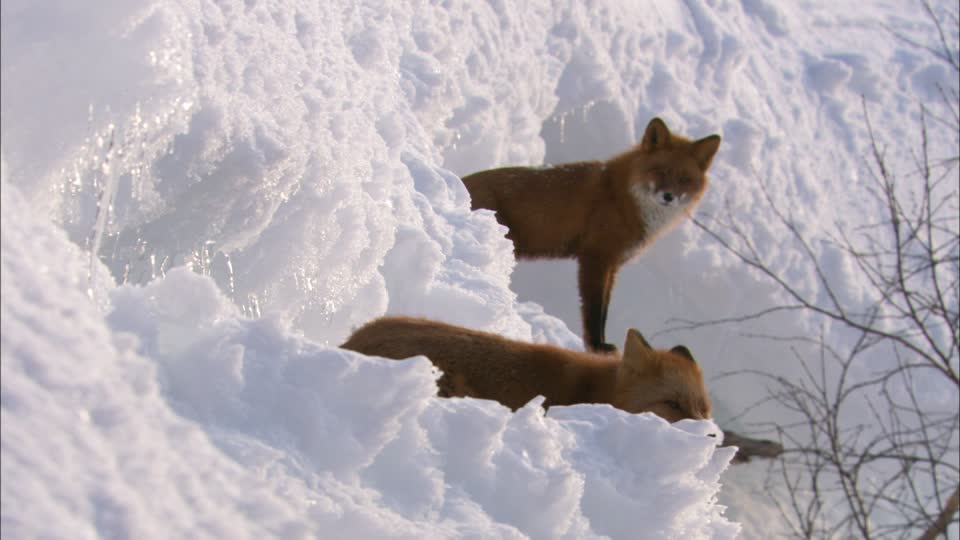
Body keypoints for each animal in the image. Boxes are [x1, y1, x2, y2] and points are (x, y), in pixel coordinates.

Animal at [462, 118, 721, 353]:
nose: (668, 196)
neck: (621, 198)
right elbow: (594, 310)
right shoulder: (595, 257)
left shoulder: (613, 265)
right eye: (659, 171)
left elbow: (605, 308)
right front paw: (596, 346)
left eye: (684, 179)